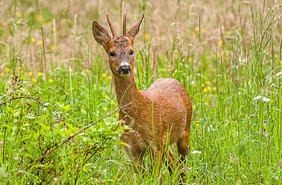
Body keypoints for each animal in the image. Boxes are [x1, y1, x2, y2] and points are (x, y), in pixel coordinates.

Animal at [92, 10, 192, 182]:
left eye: (132, 51)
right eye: (112, 53)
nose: (125, 68)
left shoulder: (155, 143)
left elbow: (157, 178)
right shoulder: (131, 148)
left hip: (185, 130)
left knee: (182, 166)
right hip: (166, 143)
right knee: (174, 165)